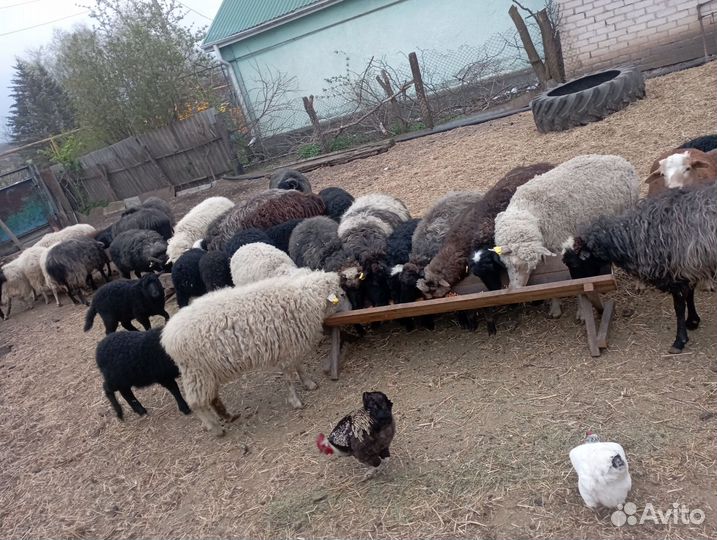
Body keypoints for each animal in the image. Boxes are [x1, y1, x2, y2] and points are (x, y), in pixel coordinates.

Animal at [160, 269, 349, 436]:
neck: (305, 299)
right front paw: (296, 401)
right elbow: (289, 377)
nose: (349, 309)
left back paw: (226, 416)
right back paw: (215, 428)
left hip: (207, 372)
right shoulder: (287, 350)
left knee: (211, 397)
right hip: (196, 371)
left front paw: (309, 384)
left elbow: (299, 367)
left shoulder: (293, 346)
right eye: (342, 294)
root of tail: (168, 336)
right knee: (196, 403)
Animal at [492, 155, 639, 318]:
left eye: (526, 265)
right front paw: (555, 308)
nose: (518, 289)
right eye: (507, 264)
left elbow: (575, 283)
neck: (530, 209)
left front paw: (581, 311)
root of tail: (620, 159)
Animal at [562, 185, 717, 354]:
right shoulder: (690, 268)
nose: (576, 288)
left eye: (573, 264)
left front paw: (679, 341)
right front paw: (693, 321)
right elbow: (689, 295)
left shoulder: (677, 271)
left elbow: (679, 307)